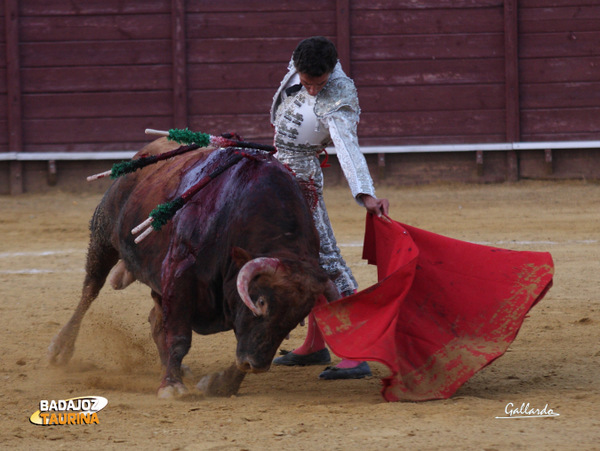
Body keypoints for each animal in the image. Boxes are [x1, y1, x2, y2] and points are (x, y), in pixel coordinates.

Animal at [48, 139, 336, 400]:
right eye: (261, 302)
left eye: (295, 320)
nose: (256, 365)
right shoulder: (179, 275)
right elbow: (179, 337)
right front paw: (171, 386)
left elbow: (238, 342)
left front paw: (221, 384)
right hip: (103, 235)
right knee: (90, 291)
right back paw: (60, 350)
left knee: (155, 320)